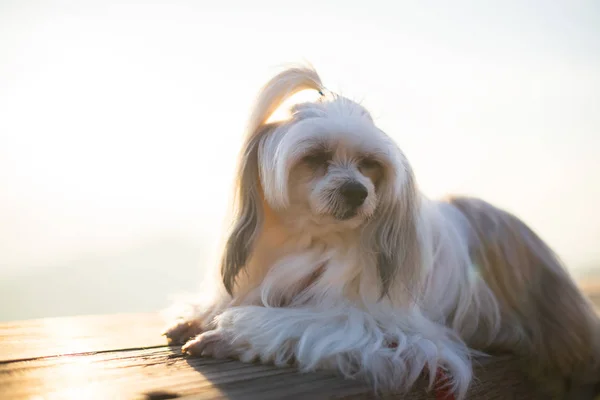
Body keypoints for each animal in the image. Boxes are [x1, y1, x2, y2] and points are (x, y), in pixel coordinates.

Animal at [162, 66, 596, 400]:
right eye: (315, 158)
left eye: (369, 164)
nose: (357, 191)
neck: (314, 239)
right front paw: (197, 318)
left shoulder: (392, 334)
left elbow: (300, 323)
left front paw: (227, 335)